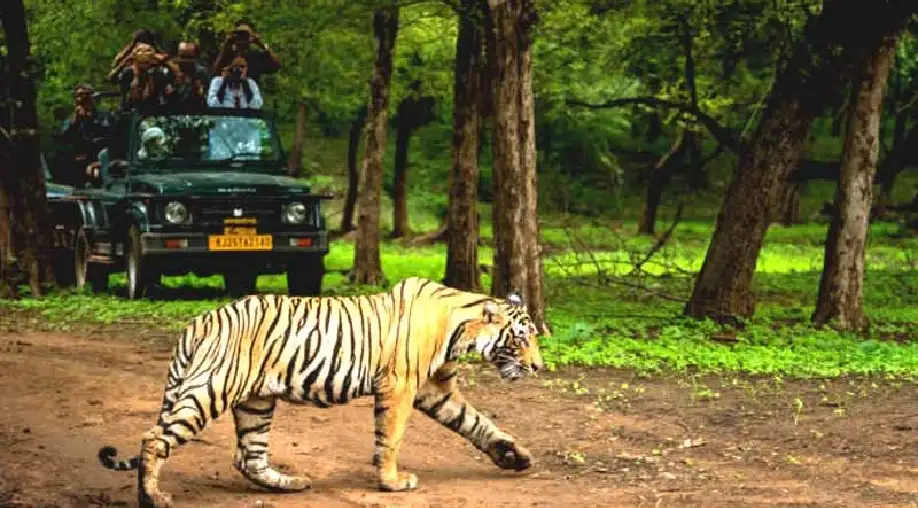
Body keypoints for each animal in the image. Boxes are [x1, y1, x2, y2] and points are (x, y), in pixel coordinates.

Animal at [97, 276, 544, 508]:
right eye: (521, 339)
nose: (538, 366)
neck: (460, 330)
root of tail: (199, 321)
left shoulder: (435, 390)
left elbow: (478, 423)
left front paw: (515, 457)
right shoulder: (400, 385)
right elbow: (392, 437)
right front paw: (392, 483)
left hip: (256, 401)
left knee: (248, 457)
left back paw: (290, 484)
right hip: (211, 388)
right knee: (154, 437)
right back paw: (152, 497)